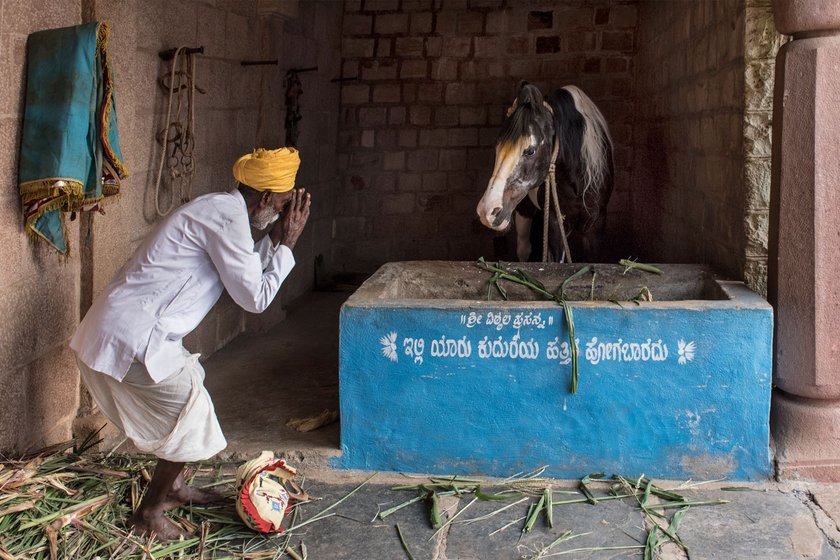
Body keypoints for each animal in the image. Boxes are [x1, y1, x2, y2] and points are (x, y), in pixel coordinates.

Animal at [476, 81, 612, 262]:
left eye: (530, 151)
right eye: (497, 148)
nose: (487, 211)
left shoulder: (595, 225)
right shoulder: (555, 222)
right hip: (524, 212)